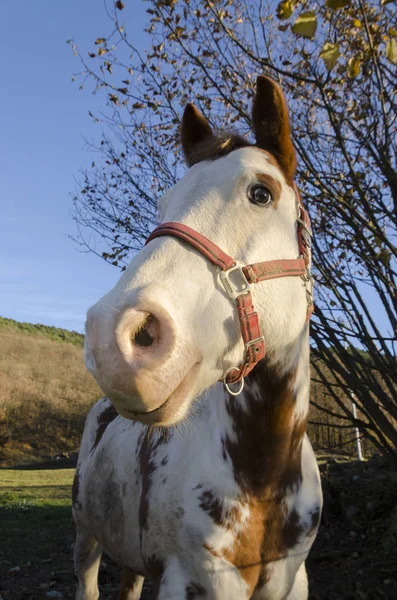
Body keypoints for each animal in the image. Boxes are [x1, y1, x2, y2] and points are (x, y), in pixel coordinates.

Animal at [73, 76, 322, 600]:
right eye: (164, 203)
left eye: (261, 193)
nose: (113, 338)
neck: (263, 477)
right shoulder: (187, 579)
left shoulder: (293, 582)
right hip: (86, 539)